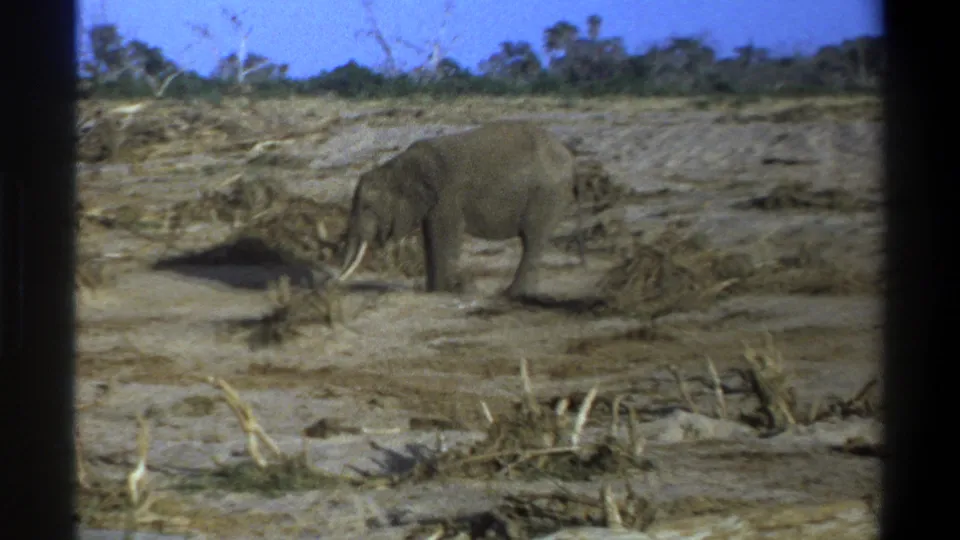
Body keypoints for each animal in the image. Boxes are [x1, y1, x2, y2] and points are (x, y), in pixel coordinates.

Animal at [333, 120, 580, 298]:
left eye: (367, 207)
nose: (333, 283)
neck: (398, 166)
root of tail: (568, 156)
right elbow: (430, 238)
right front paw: (433, 291)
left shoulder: (447, 195)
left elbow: (443, 236)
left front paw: (443, 291)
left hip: (547, 195)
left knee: (532, 240)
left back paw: (512, 294)